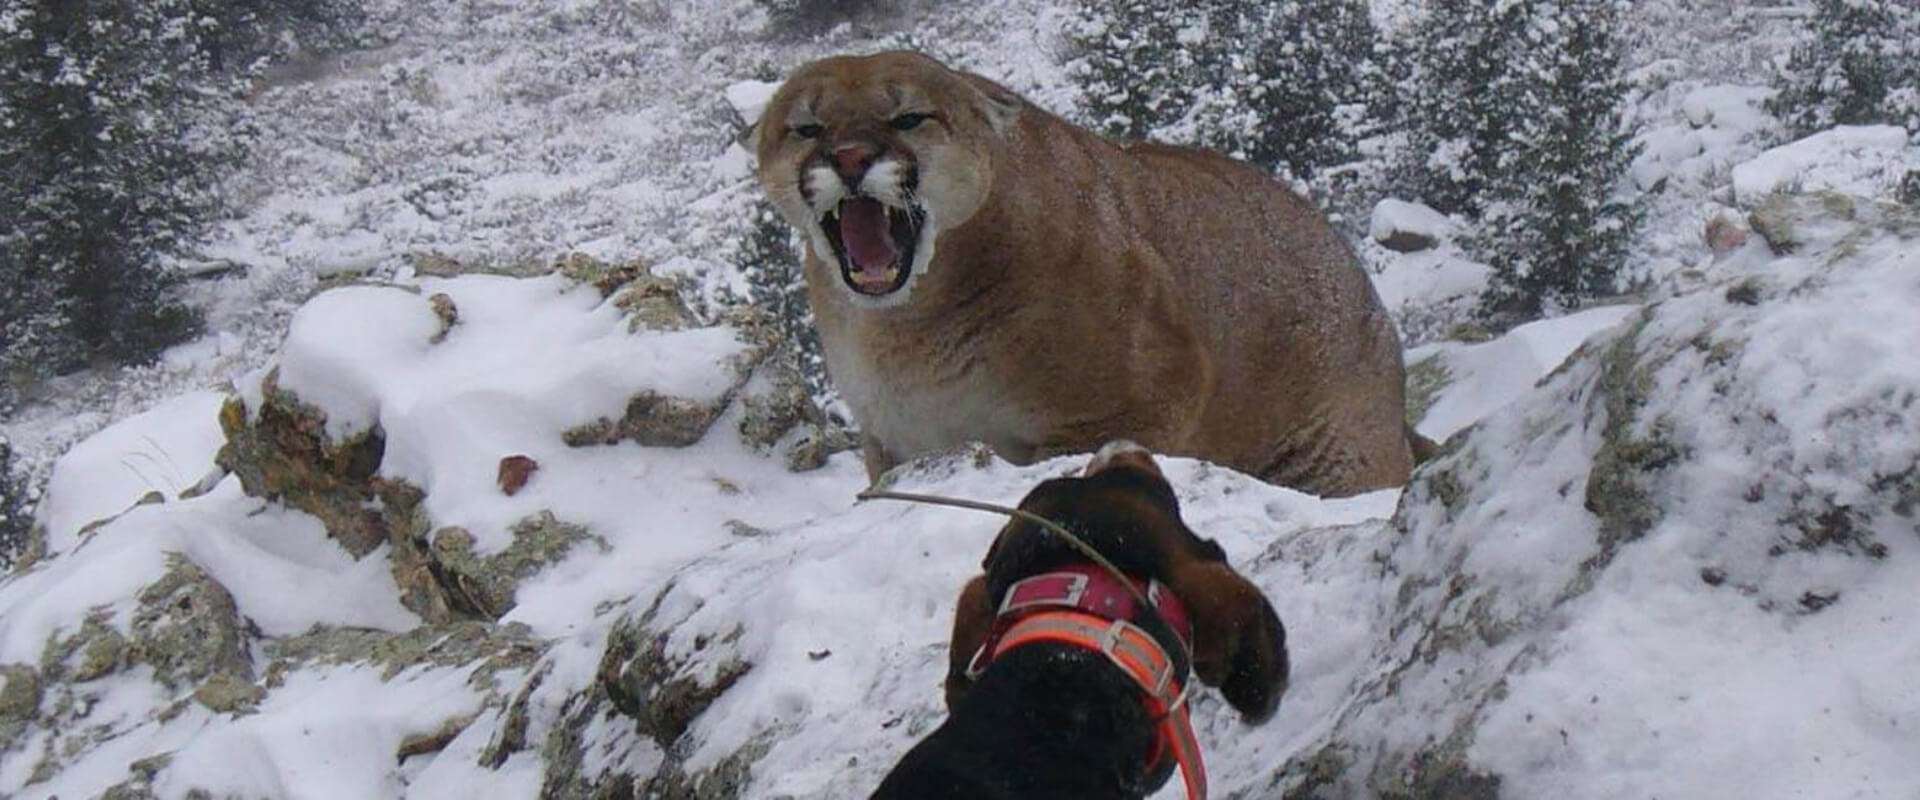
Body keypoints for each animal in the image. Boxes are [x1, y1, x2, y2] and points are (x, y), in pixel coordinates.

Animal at [753, 51, 1420, 497]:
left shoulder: (1153, 392)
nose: (850, 158)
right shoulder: (893, 440)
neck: (905, 327)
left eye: (910, 117)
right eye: (807, 128)